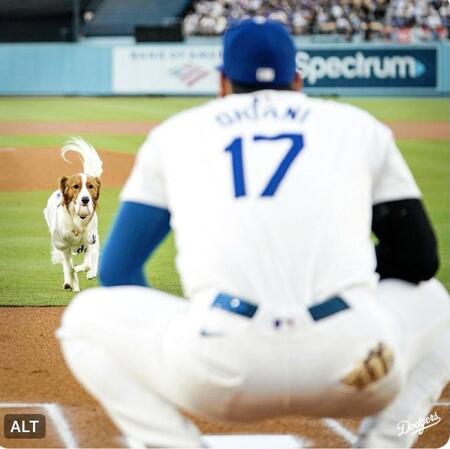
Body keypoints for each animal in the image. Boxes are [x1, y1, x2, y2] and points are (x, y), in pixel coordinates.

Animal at [44, 136, 103, 290]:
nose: (85, 199)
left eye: (91, 186)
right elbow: (69, 267)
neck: (78, 219)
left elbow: (87, 263)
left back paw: (91, 273)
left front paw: (82, 269)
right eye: (75, 186)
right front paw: (72, 281)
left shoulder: (89, 239)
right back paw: (69, 282)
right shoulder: (63, 245)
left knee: (95, 253)